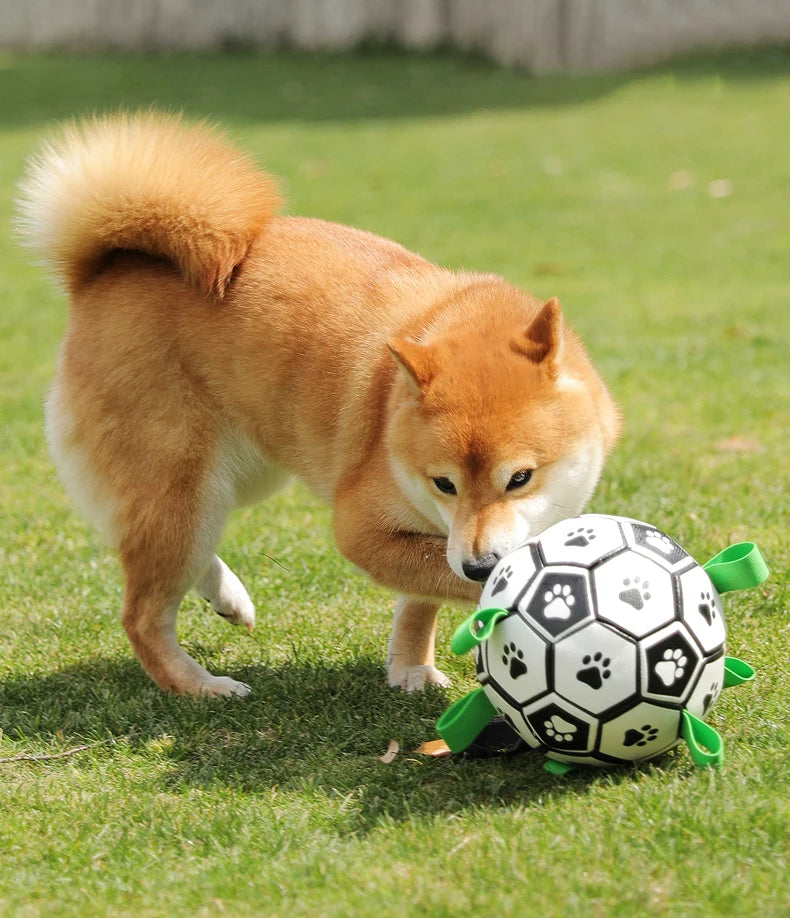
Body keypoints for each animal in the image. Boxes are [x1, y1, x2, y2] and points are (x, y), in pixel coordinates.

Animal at [13, 113, 620, 696]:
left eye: (520, 479)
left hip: (240, 479)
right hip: (180, 483)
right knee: (142, 613)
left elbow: (419, 601)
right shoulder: (365, 530)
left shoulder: (440, 534)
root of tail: (100, 274)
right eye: (444, 483)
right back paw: (199, 686)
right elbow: (448, 579)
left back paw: (226, 596)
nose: (479, 564)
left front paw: (410, 669)